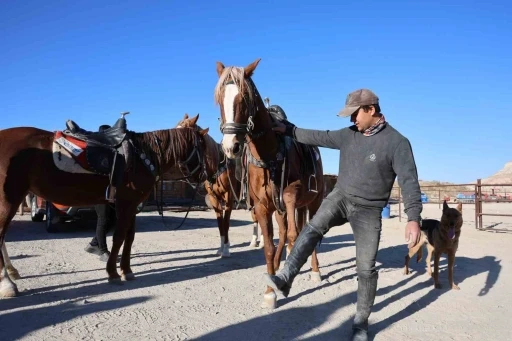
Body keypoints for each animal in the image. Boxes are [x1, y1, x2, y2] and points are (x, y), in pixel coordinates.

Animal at [0, 121, 214, 296]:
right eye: (203, 147)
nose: (206, 176)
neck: (142, 156)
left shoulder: (132, 205)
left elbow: (129, 238)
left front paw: (127, 270)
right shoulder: (125, 204)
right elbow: (119, 237)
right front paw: (113, 273)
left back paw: (11, 272)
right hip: (8, 199)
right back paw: (7, 283)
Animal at [175, 113, 264, 254]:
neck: (216, 167)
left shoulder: (229, 197)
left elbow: (226, 222)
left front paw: (226, 249)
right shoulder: (213, 198)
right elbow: (220, 224)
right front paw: (221, 248)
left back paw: (262, 242)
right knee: (255, 217)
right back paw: (254, 241)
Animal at [214, 58, 326, 308]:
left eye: (244, 98)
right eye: (219, 99)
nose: (231, 147)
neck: (269, 152)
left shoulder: (291, 196)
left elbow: (296, 236)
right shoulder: (263, 206)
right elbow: (268, 246)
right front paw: (269, 290)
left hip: (312, 203)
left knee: (303, 233)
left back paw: (314, 271)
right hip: (282, 209)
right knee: (283, 235)